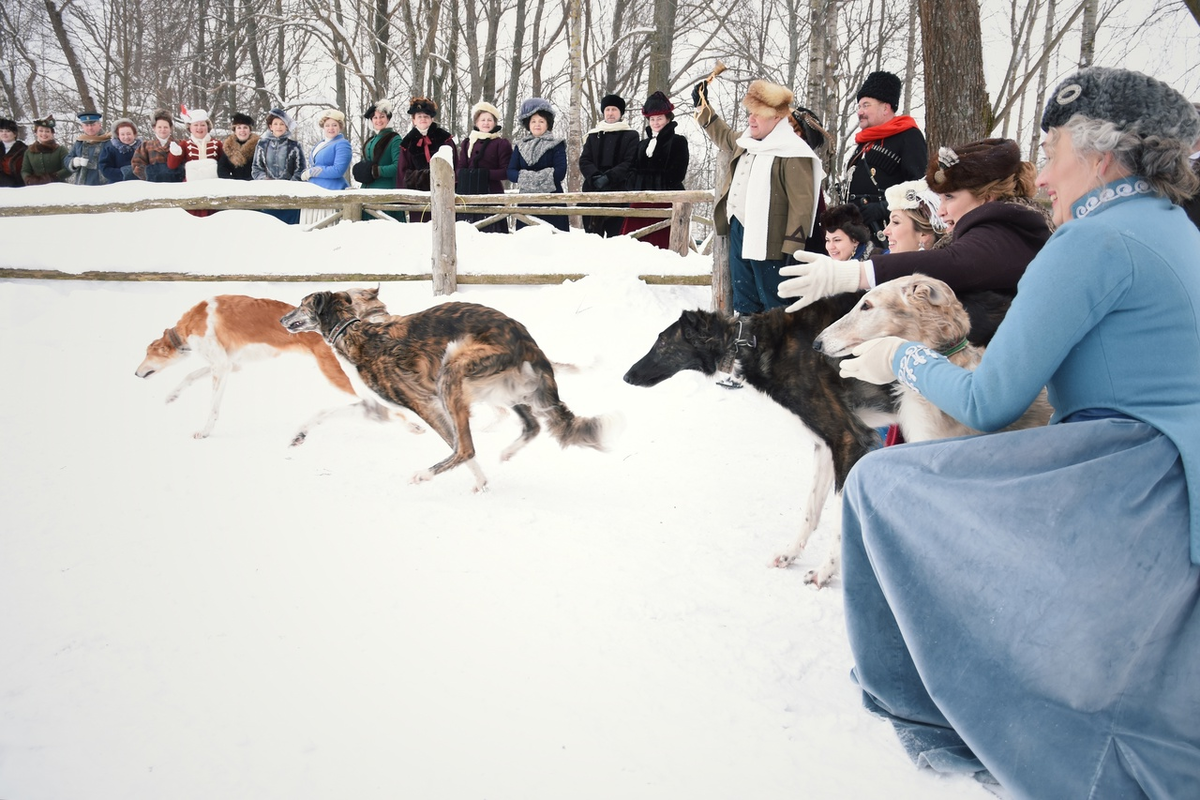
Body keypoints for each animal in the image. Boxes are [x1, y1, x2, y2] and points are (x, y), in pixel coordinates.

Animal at [135, 293, 422, 443]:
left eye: (148, 353)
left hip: (338, 376)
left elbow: (212, 406)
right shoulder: (230, 365)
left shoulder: (222, 366)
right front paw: (171, 396)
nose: (136, 373)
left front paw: (204, 431)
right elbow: (190, 375)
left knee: (384, 408)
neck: (193, 323)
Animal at [282, 287, 614, 489]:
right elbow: (323, 412)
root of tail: (524, 338)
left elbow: (459, 446)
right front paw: (298, 436)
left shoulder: (423, 404)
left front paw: (479, 480)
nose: (283, 318)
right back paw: (507, 451)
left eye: (301, 304)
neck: (354, 332)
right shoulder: (375, 405)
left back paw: (424, 473)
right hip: (501, 387)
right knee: (531, 425)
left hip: (453, 372)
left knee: (467, 447)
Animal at [624, 297, 897, 585]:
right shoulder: (826, 444)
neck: (749, 343)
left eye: (662, 344)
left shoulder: (848, 439)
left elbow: (839, 523)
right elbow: (810, 512)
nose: (626, 376)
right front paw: (790, 554)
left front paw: (825, 571)